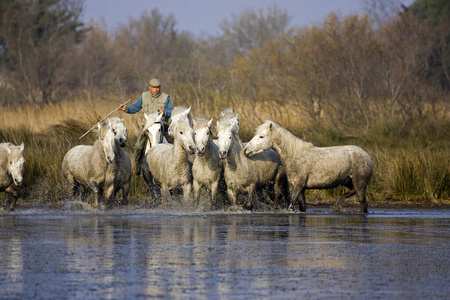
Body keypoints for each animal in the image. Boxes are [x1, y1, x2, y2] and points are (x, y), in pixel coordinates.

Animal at [243, 120, 372, 213]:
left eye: (262, 136)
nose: (245, 150)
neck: (295, 155)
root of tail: (367, 157)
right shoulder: (301, 189)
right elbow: (302, 207)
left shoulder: (298, 185)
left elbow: (291, 205)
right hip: (349, 182)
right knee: (352, 192)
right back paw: (338, 202)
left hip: (360, 184)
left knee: (363, 204)